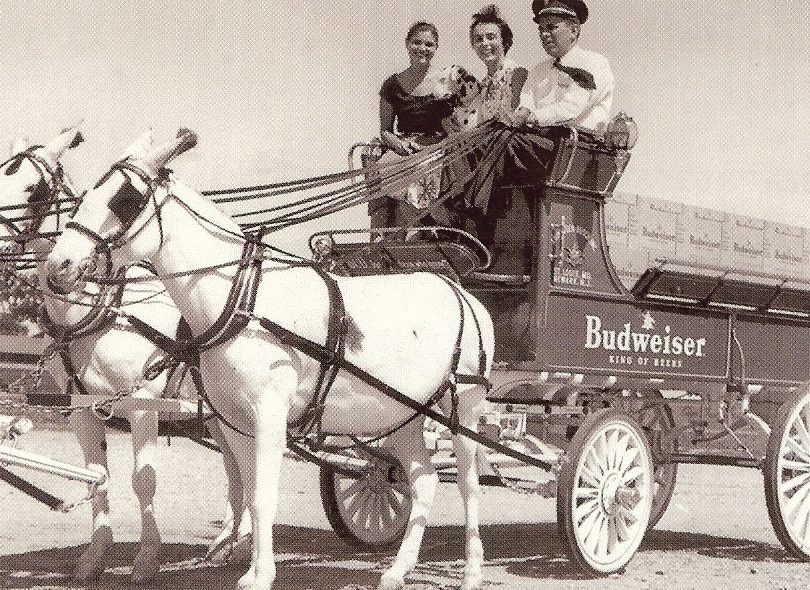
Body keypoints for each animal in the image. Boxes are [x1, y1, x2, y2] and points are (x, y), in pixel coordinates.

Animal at [0, 127, 248, 584]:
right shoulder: (81, 410)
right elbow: (98, 477)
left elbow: (142, 481)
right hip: (220, 414)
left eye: (32, 190)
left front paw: (147, 559)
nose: (59, 269)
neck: (100, 310)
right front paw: (93, 558)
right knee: (237, 466)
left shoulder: (143, 405)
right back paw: (227, 542)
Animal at [47, 132, 496, 590]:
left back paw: (472, 571)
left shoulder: (263, 415)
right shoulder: (234, 420)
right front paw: (249, 565)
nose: (58, 264)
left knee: (469, 484)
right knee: (423, 481)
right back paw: (397, 569)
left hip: (464, 407)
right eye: (84, 195)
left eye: (124, 199)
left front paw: (258, 574)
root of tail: (460, 291)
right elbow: (250, 491)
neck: (243, 300)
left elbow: (261, 496)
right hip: (401, 415)